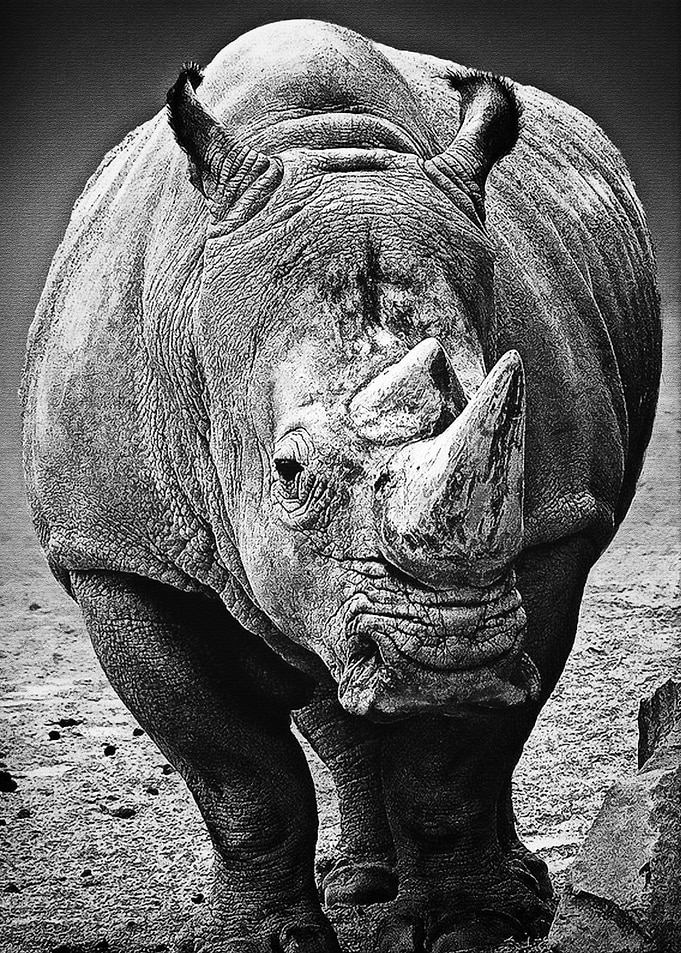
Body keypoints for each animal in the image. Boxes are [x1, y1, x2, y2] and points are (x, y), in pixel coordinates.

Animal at [21, 18, 661, 953]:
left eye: (514, 403)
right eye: (287, 471)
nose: (446, 654)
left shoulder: (551, 523)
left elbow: (453, 757)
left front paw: (466, 927)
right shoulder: (118, 553)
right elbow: (238, 775)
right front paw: (262, 941)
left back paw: (505, 890)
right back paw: (360, 882)